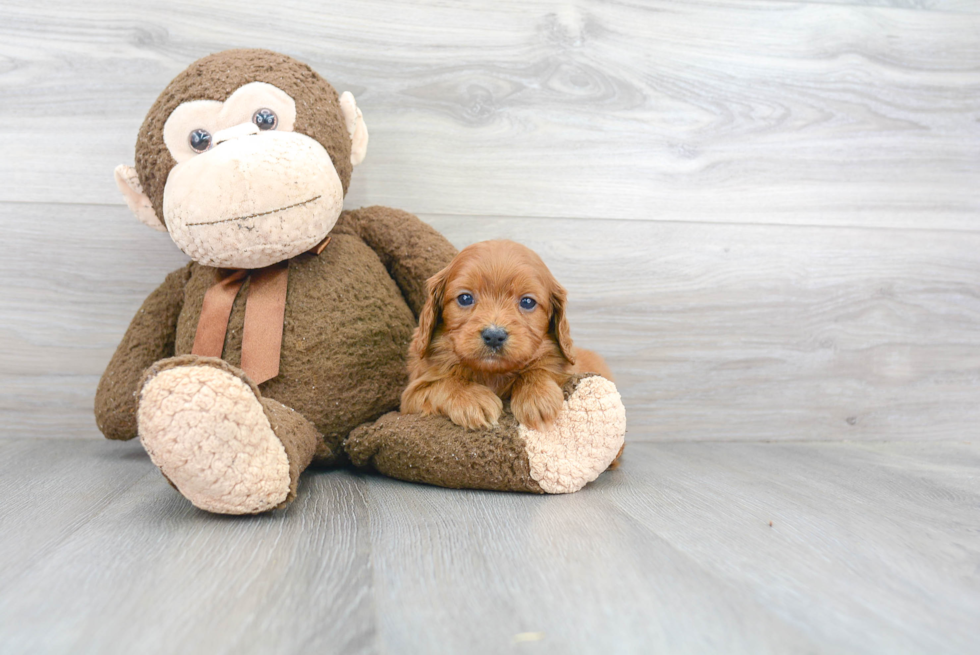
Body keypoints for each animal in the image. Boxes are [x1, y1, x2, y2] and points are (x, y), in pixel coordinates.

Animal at [398, 238, 612, 434]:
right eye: (465, 298)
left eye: (527, 302)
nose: (494, 336)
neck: (493, 374)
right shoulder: (410, 398)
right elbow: (443, 383)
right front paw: (472, 399)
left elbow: (541, 367)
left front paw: (537, 395)